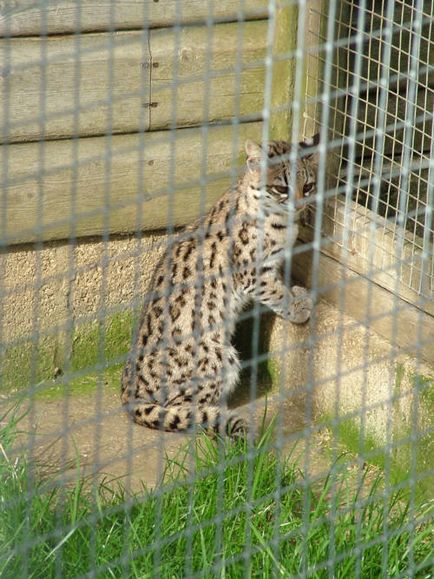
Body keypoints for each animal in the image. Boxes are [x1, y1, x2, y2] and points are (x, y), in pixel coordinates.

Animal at [120, 134, 320, 438]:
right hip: (218, 356)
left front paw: (296, 292)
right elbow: (275, 292)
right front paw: (297, 306)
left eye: (308, 186)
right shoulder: (251, 272)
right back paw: (215, 414)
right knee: (181, 408)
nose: (299, 206)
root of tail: (129, 395)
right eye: (281, 188)